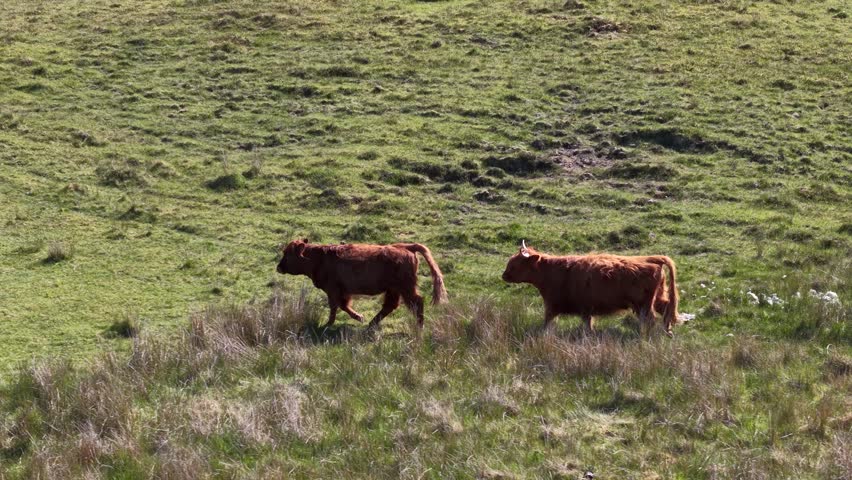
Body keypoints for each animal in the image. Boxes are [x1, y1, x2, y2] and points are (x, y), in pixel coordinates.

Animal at [276, 239, 448, 329]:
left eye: (287, 254)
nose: (278, 267)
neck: (319, 258)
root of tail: (405, 246)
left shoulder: (333, 290)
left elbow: (335, 307)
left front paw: (328, 324)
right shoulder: (343, 291)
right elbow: (343, 305)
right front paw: (359, 317)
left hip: (406, 287)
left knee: (417, 301)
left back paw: (420, 326)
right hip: (394, 289)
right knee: (389, 306)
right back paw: (371, 324)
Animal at [501, 241, 679, 336]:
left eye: (514, 265)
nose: (503, 275)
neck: (550, 271)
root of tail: (652, 260)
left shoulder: (552, 305)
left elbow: (547, 321)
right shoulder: (585, 308)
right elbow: (587, 324)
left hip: (643, 304)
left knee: (650, 319)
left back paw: (645, 336)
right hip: (657, 297)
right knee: (666, 309)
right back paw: (668, 332)